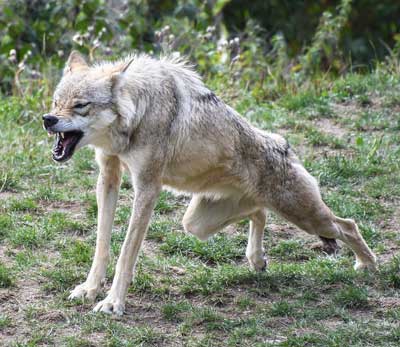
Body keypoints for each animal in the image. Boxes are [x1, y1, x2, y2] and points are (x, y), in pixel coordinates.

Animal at [43, 51, 378, 316]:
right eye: (56, 102)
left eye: (80, 105)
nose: (48, 119)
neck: (138, 112)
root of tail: (283, 144)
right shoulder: (108, 177)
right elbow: (102, 244)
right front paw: (89, 289)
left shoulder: (147, 188)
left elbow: (126, 252)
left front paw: (113, 303)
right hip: (197, 224)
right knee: (260, 213)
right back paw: (257, 259)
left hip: (307, 217)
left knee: (348, 225)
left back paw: (368, 266)